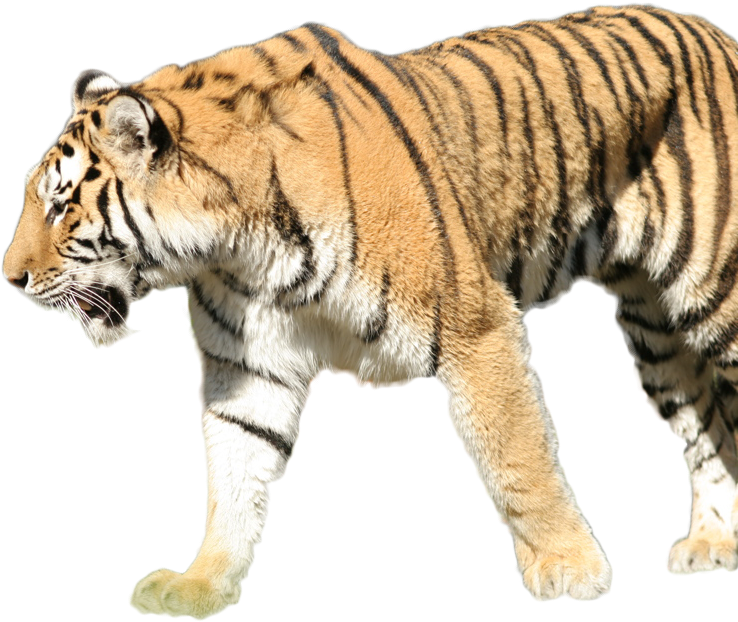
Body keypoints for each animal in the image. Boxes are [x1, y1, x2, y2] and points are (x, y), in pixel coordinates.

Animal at [3, 4, 737, 617]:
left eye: (62, 205)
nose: (11, 279)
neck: (238, 245)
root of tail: (717, 32)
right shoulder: (247, 367)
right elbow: (234, 475)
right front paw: (200, 584)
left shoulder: (477, 327)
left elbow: (518, 456)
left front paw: (570, 567)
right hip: (656, 332)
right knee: (707, 427)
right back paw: (714, 545)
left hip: (718, 295)